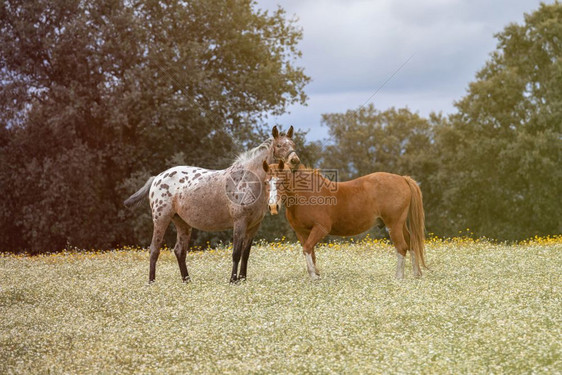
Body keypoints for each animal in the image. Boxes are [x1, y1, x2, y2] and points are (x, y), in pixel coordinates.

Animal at [122, 125, 298, 284]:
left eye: (293, 144)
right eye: (279, 145)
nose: (295, 160)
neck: (248, 179)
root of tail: (157, 178)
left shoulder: (254, 226)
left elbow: (246, 254)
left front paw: (243, 279)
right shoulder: (239, 222)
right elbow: (236, 253)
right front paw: (233, 280)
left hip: (182, 223)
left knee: (179, 251)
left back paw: (187, 281)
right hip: (161, 219)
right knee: (154, 249)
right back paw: (151, 282)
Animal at [262, 160, 424, 280]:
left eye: (281, 182)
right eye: (265, 182)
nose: (273, 207)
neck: (306, 195)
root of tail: (403, 179)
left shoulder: (320, 229)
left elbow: (307, 248)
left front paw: (314, 276)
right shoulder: (301, 232)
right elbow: (310, 252)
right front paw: (316, 274)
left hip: (394, 225)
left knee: (402, 247)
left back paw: (399, 277)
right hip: (400, 225)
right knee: (411, 243)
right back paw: (416, 274)